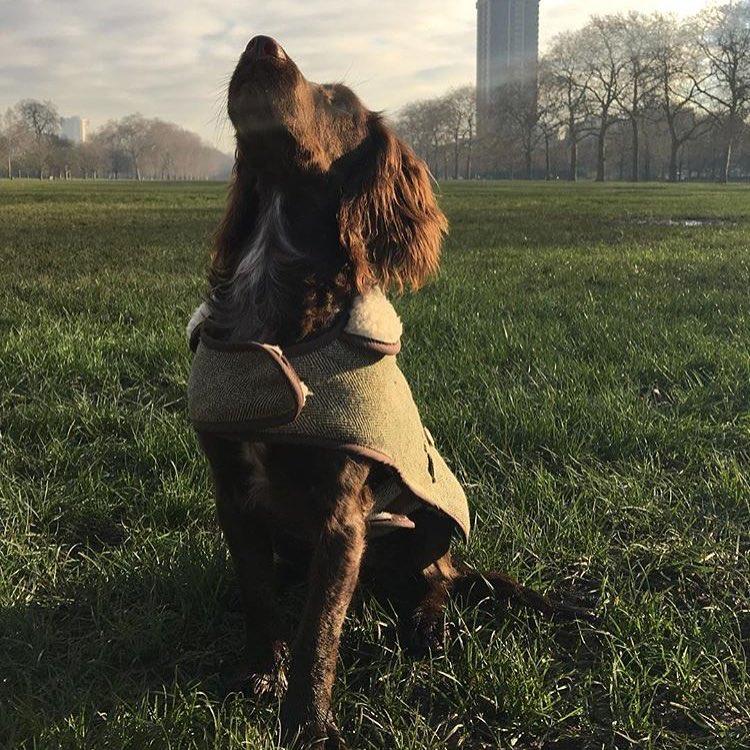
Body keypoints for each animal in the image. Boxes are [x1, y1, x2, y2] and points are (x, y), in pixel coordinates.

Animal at [189, 36, 588, 750]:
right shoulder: (233, 491)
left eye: (341, 101)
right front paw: (261, 671)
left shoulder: (341, 517)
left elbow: (320, 632)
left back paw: (426, 627)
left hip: (423, 528)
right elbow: (258, 595)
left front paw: (309, 724)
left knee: (440, 581)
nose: (262, 44)